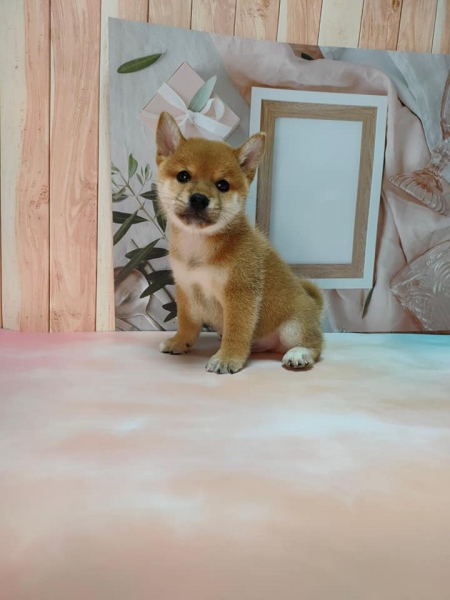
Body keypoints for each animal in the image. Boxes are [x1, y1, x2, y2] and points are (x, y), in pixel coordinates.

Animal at [155, 111, 324, 374]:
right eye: (183, 176)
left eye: (222, 185)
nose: (199, 198)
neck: (198, 246)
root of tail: (314, 306)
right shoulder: (185, 289)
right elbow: (187, 323)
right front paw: (180, 342)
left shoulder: (240, 294)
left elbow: (236, 331)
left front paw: (227, 358)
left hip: (293, 327)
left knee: (315, 345)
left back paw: (298, 354)